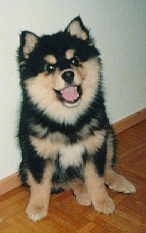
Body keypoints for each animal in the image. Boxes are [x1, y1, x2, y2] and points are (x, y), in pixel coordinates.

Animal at [17, 16, 136, 222]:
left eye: (74, 60)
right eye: (50, 67)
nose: (68, 74)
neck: (68, 119)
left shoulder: (95, 146)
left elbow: (96, 178)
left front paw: (103, 202)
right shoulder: (37, 155)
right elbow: (40, 184)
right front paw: (37, 208)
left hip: (108, 135)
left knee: (106, 168)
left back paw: (120, 183)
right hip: (24, 167)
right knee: (67, 181)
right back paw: (83, 194)